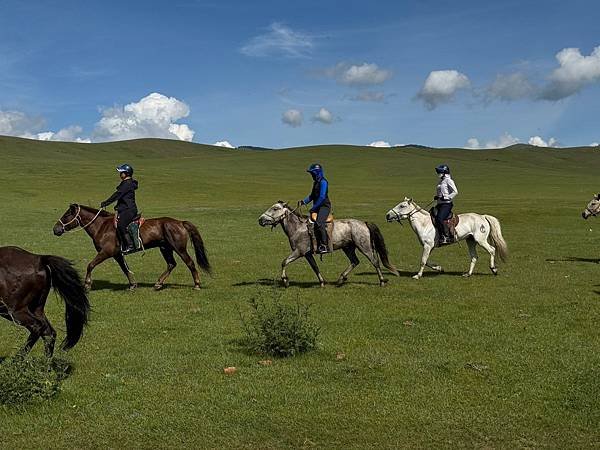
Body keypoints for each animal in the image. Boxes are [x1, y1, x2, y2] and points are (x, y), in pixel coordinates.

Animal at [52, 204, 211, 292]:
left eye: (67, 215)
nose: (55, 229)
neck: (101, 226)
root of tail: (180, 222)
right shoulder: (117, 255)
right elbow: (125, 269)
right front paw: (133, 285)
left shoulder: (106, 252)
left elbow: (90, 265)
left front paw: (87, 285)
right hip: (165, 248)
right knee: (171, 264)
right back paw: (158, 284)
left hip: (179, 248)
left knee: (189, 263)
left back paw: (197, 285)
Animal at [258, 201, 398, 286]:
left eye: (275, 208)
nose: (260, 220)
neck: (298, 228)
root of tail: (364, 223)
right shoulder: (308, 254)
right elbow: (315, 267)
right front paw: (322, 282)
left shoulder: (299, 252)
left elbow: (284, 262)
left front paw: (285, 281)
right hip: (348, 248)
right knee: (355, 261)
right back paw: (341, 279)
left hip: (365, 247)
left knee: (375, 262)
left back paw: (381, 281)